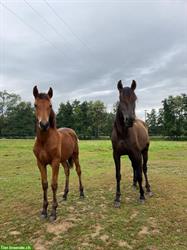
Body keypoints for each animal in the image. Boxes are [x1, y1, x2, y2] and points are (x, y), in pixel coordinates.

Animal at [32, 86, 84, 221]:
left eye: (50, 105)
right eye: (35, 105)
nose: (44, 124)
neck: (44, 141)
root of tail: (71, 131)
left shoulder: (54, 162)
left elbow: (54, 184)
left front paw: (53, 212)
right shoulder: (40, 163)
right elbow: (44, 184)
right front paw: (44, 210)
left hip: (75, 156)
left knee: (78, 171)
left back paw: (82, 193)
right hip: (63, 160)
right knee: (67, 171)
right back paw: (65, 194)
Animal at [112, 79, 151, 207]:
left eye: (135, 98)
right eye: (121, 99)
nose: (129, 120)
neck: (123, 133)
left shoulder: (136, 154)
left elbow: (140, 174)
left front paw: (142, 196)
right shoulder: (116, 155)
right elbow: (118, 175)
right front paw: (117, 198)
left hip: (144, 152)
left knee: (143, 169)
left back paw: (148, 188)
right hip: (131, 155)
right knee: (135, 167)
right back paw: (134, 184)